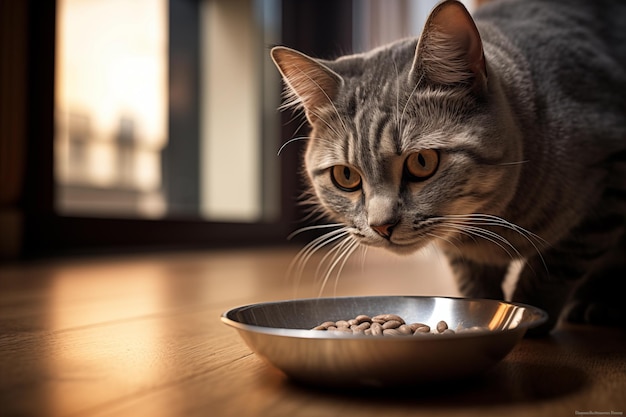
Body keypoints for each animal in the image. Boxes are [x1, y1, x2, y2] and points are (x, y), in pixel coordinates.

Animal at [270, 0, 624, 334]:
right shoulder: (462, 253)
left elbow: (552, 269)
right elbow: (473, 280)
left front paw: (531, 317)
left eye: (422, 162)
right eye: (346, 176)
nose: (381, 226)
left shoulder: (607, 183)